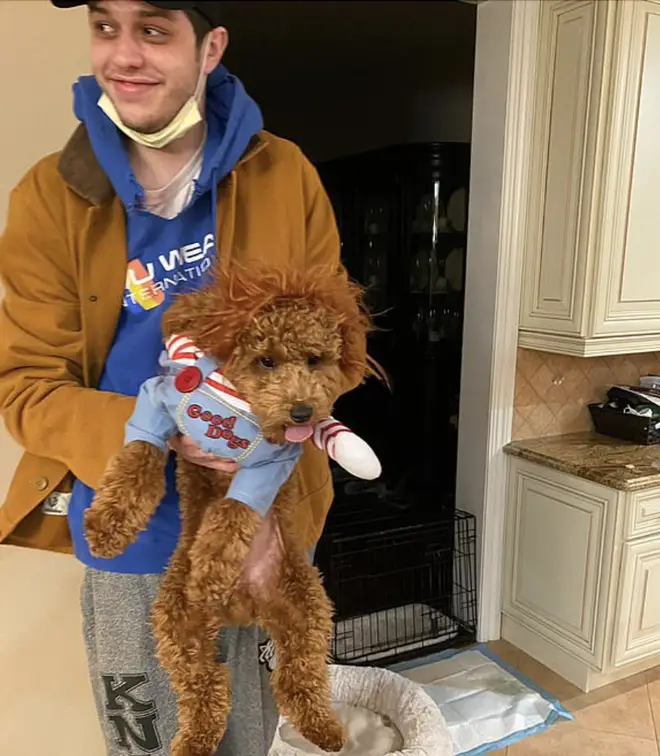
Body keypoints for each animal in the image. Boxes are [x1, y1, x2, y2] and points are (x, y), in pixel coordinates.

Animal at [82, 262, 378, 756]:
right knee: (206, 688)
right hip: (177, 625)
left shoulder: (268, 465)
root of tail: (245, 606)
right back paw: (194, 740)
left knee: (298, 678)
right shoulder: (158, 406)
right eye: (266, 361)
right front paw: (107, 525)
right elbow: (137, 457)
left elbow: (233, 514)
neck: (240, 407)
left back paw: (324, 729)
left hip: (307, 609)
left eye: (314, 360)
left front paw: (209, 570)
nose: (302, 412)